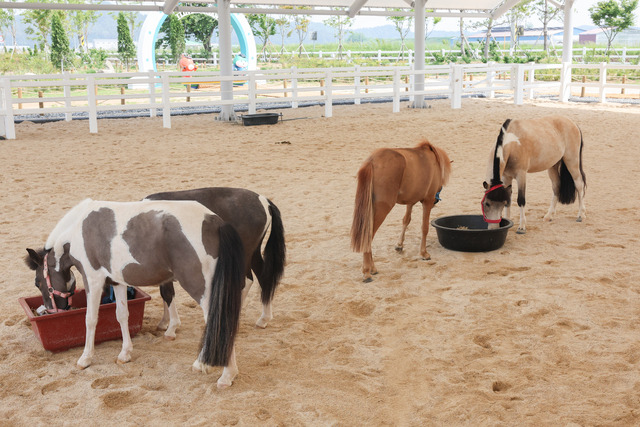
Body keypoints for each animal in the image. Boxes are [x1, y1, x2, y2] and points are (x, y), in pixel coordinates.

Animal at [25, 199, 245, 390]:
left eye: (38, 282)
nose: (51, 311)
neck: (77, 229)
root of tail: (215, 222)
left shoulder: (93, 279)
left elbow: (90, 319)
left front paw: (85, 358)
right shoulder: (118, 281)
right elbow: (122, 316)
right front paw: (125, 353)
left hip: (201, 289)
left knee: (218, 321)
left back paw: (226, 375)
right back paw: (203, 364)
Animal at [350, 140, 450, 284]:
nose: (436, 201)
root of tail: (372, 161)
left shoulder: (411, 201)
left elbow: (406, 220)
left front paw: (399, 245)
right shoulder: (428, 201)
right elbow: (424, 227)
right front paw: (423, 253)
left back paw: (372, 268)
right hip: (382, 209)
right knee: (368, 237)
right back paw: (367, 272)